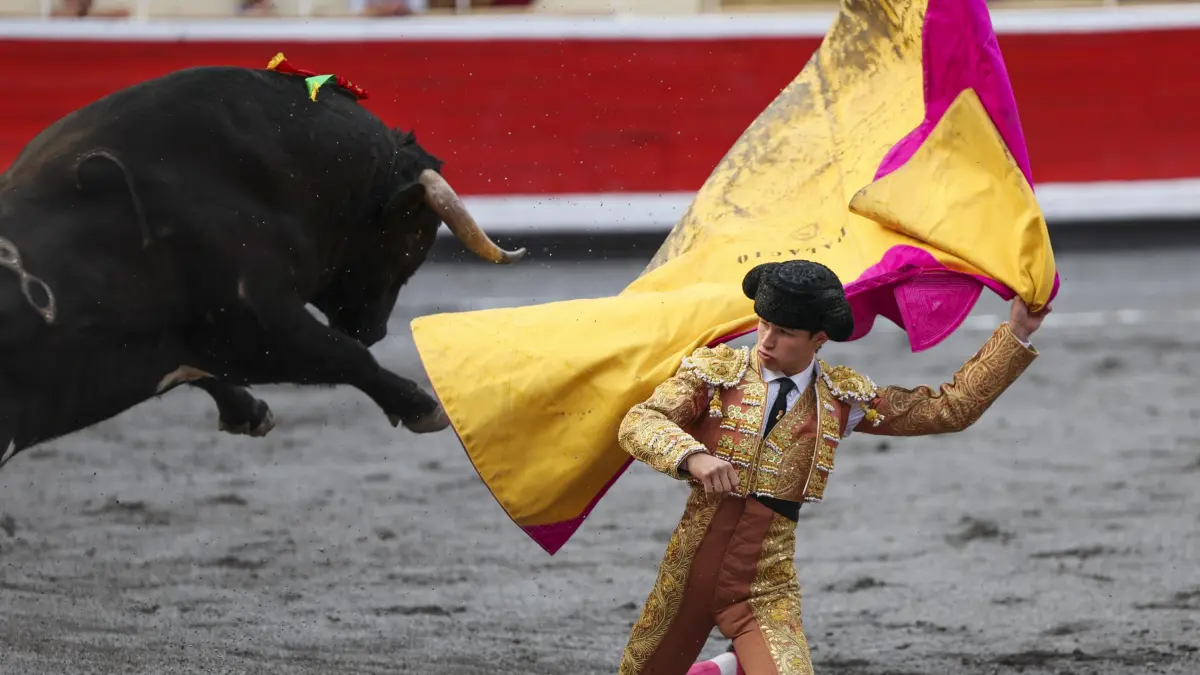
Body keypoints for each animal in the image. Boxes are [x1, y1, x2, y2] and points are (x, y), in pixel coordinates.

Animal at [0, 62, 525, 469]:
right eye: (414, 236)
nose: (374, 329)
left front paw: (247, 412)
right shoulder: (254, 321)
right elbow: (344, 355)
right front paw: (422, 407)